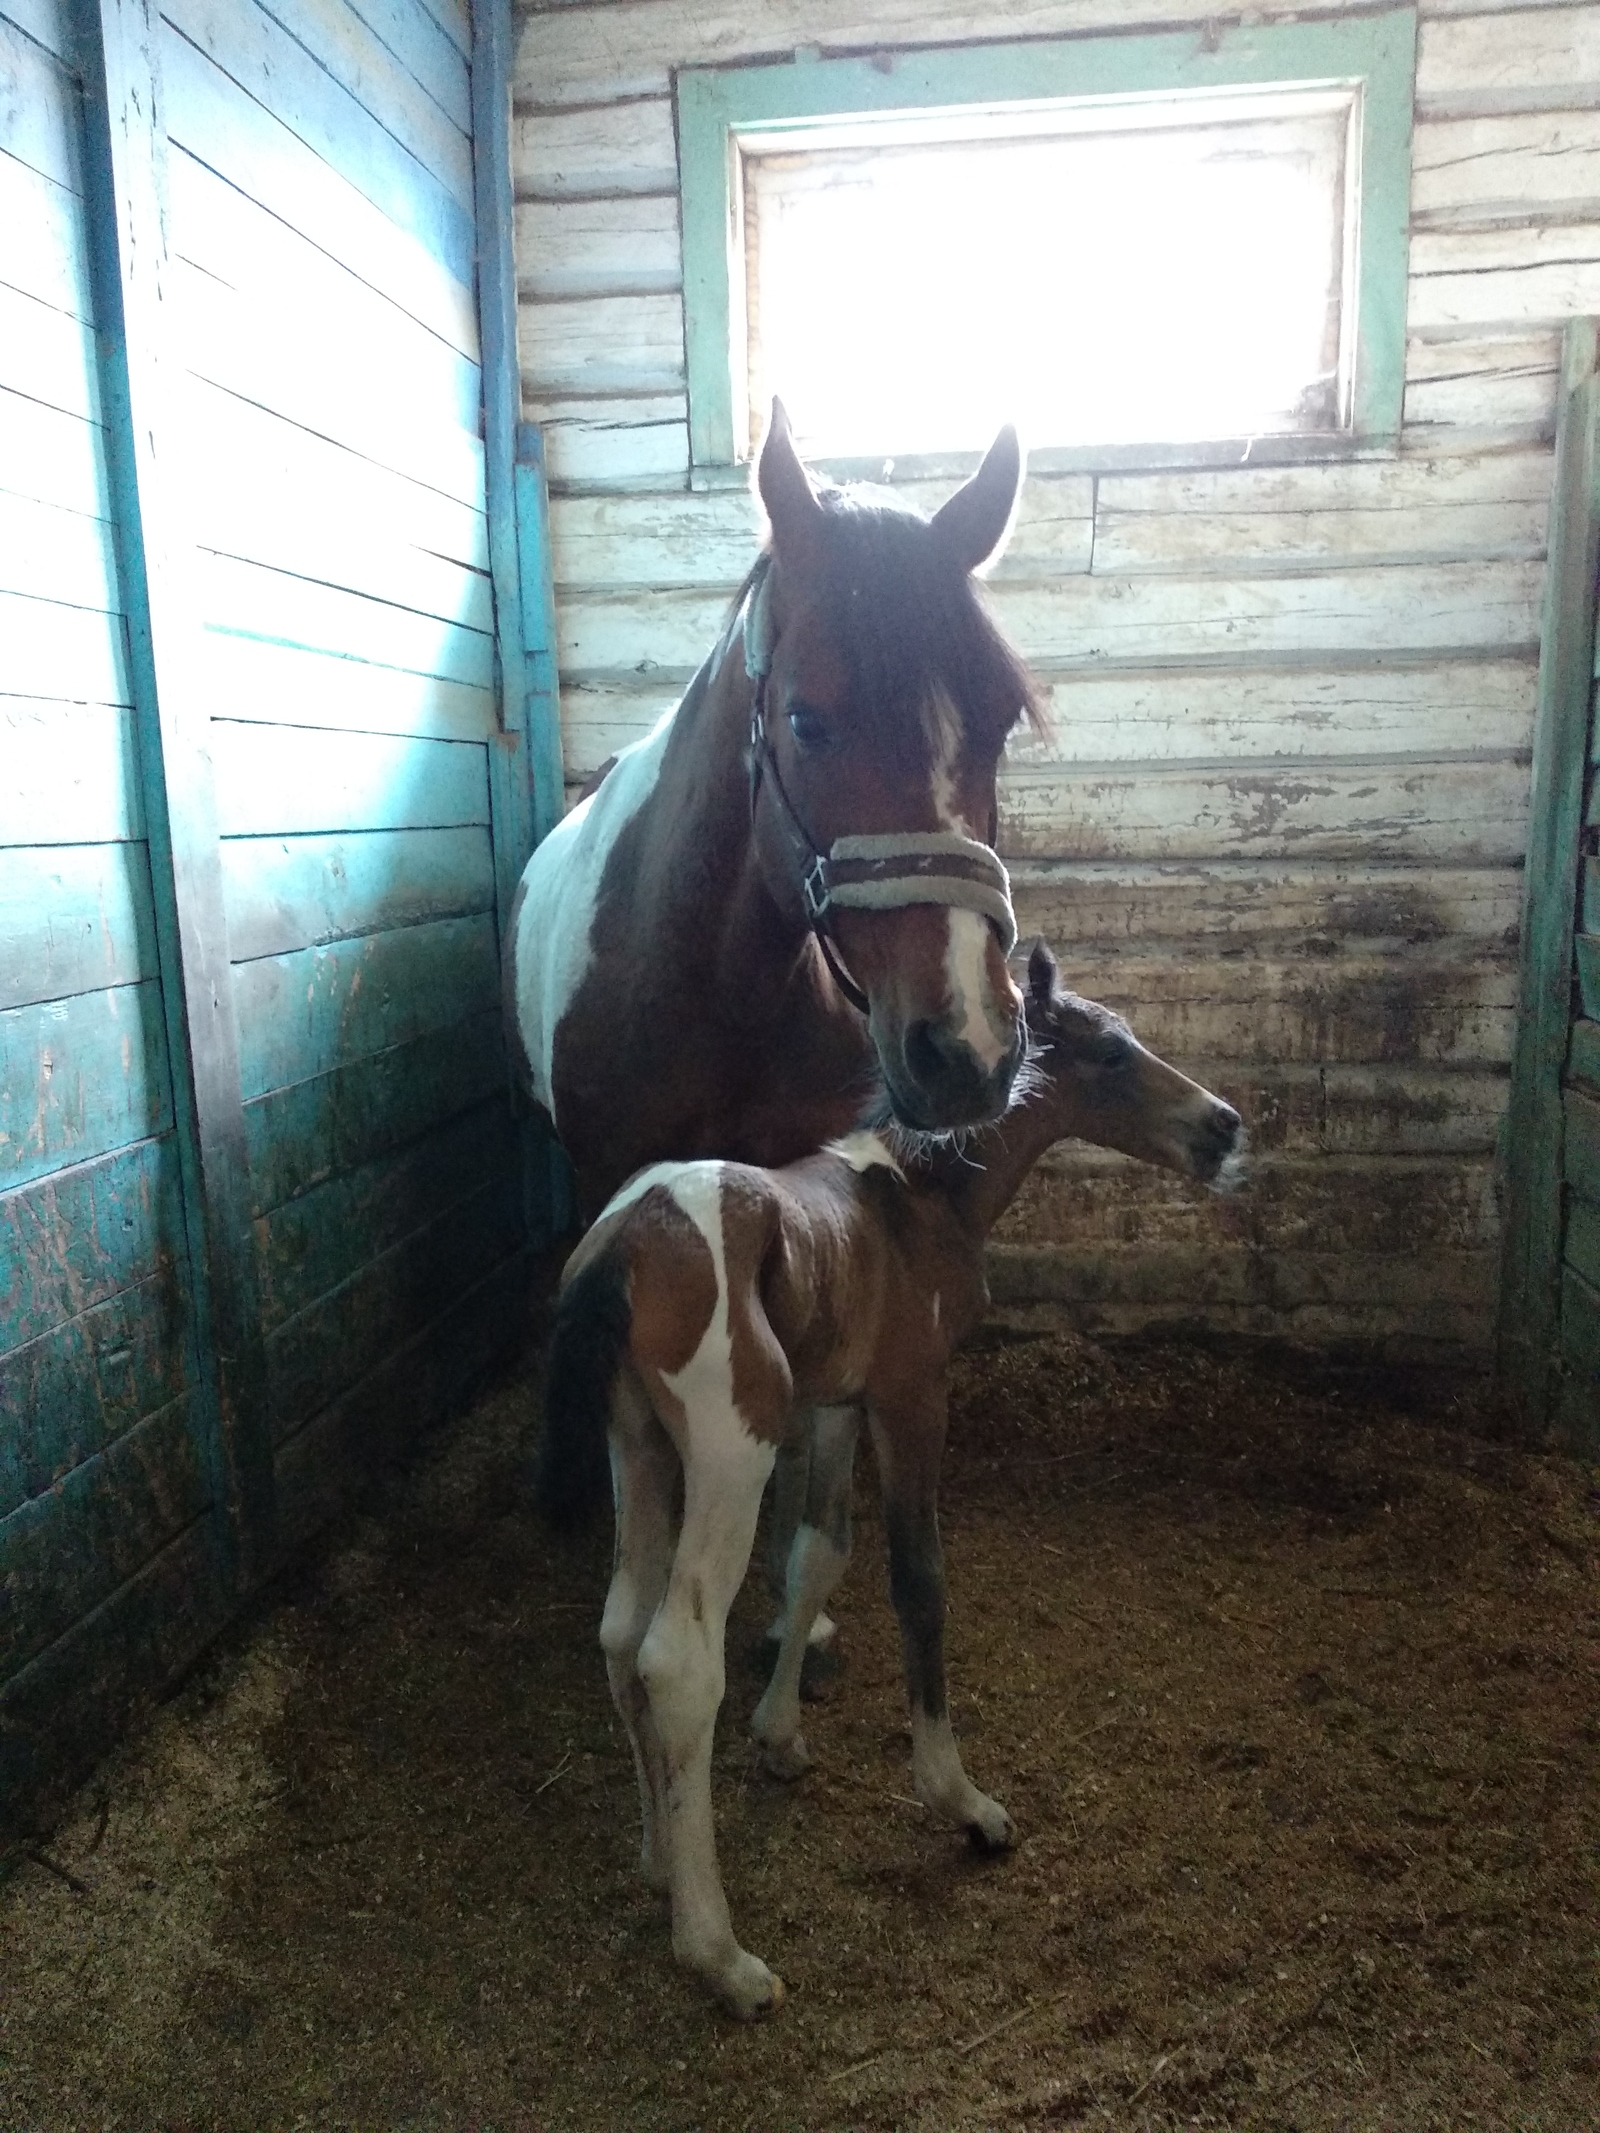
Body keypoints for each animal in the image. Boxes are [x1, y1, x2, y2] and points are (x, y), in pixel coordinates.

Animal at [546, 951, 1245, 2013]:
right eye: (1114, 1055)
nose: (1225, 1127)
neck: (917, 1196)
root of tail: (622, 1240)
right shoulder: (914, 1396)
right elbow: (920, 1583)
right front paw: (960, 1798)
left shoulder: (840, 1402)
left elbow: (818, 1554)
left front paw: (781, 1736)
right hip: (730, 1453)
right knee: (677, 1658)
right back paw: (719, 1952)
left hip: (641, 1448)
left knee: (622, 1630)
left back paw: (661, 1859)